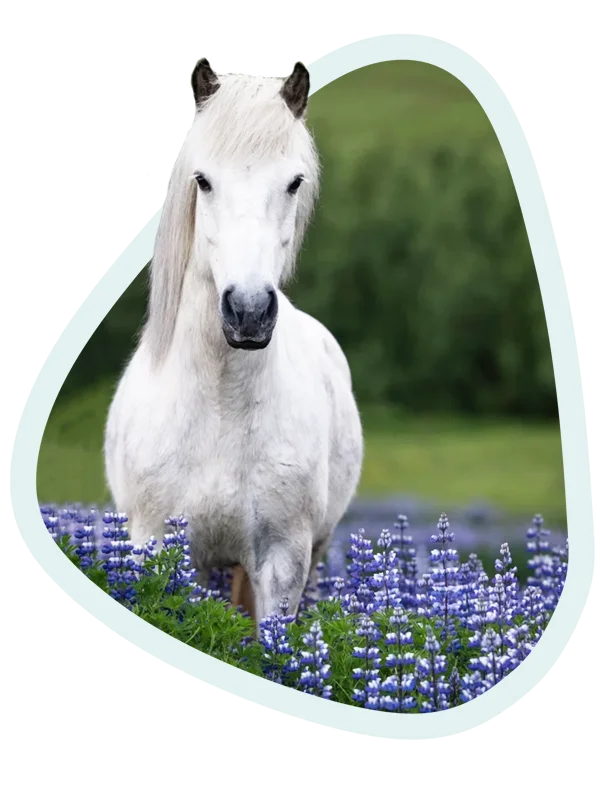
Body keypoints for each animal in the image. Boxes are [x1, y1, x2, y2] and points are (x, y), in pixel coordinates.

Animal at [104, 60, 363, 624]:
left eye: (293, 182)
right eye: (203, 181)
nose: (248, 311)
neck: (221, 406)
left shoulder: (284, 562)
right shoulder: (159, 549)